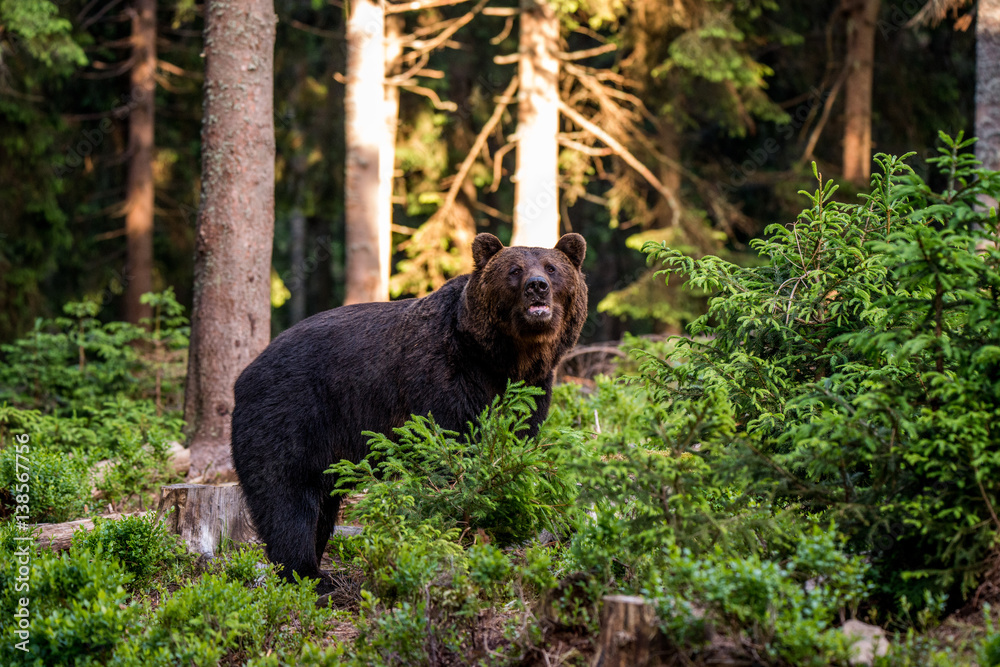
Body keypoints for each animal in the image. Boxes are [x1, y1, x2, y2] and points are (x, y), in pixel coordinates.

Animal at [230, 232, 587, 588]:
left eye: (552, 267)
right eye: (514, 270)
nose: (537, 286)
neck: (502, 360)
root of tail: (244, 376)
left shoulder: (531, 392)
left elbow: (513, 446)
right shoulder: (443, 380)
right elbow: (449, 452)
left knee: (322, 501)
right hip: (291, 412)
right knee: (286, 493)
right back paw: (308, 574)